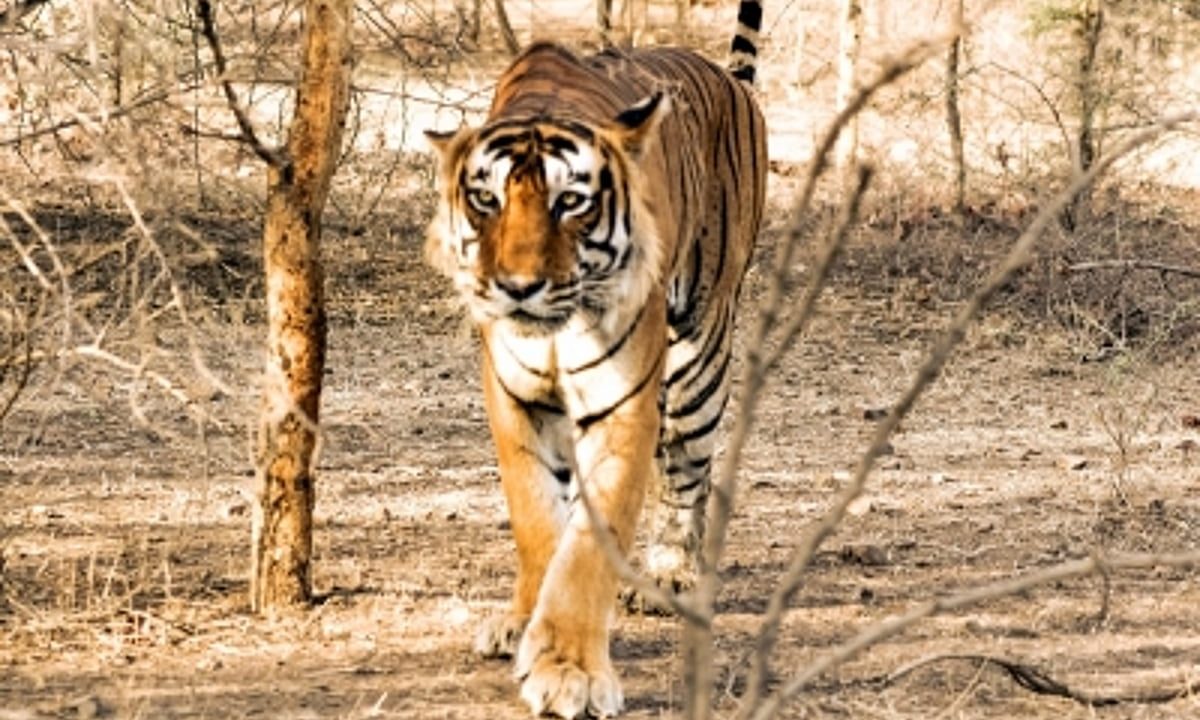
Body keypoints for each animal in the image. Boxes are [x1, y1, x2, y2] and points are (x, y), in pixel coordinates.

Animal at [424, 3, 767, 716]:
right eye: (487, 200)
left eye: (570, 202)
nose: (517, 286)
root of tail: (731, 80)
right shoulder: (515, 399)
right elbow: (538, 521)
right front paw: (522, 624)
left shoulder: (622, 401)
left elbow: (588, 542)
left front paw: (568, 670)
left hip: (700, 351)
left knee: (688, 469)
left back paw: (670, 572)